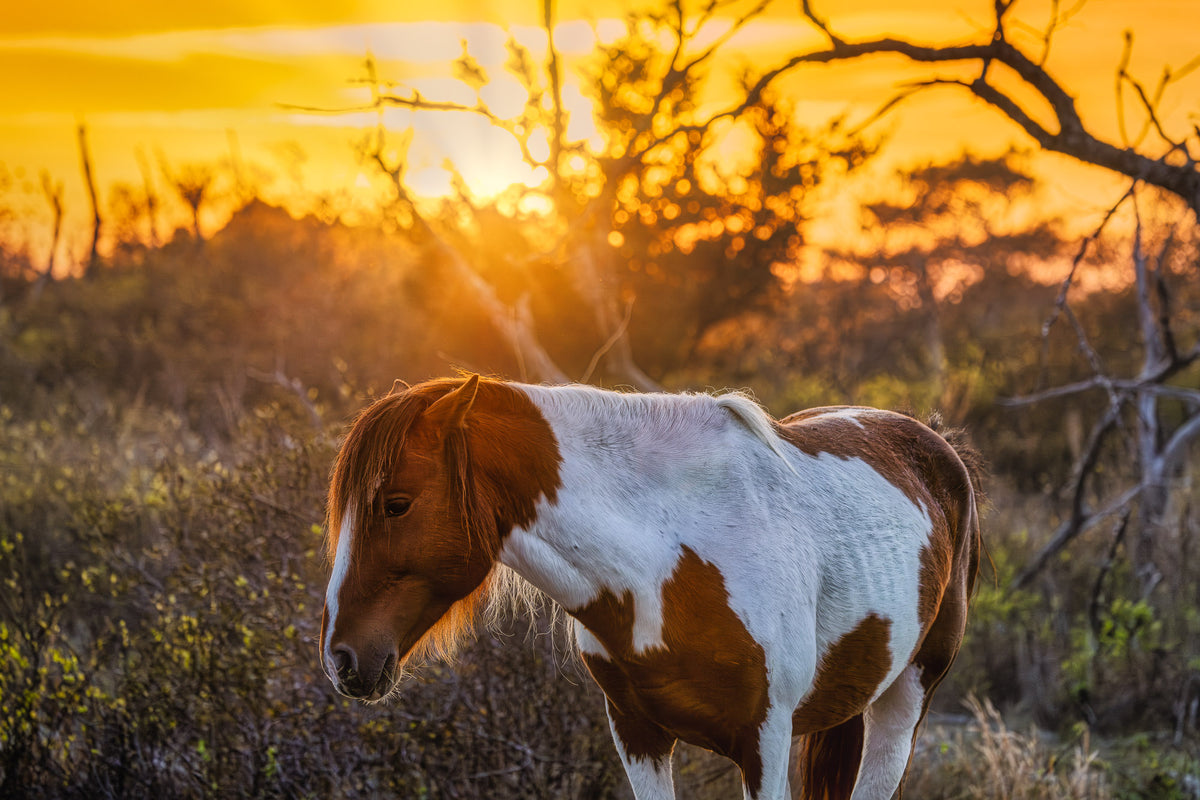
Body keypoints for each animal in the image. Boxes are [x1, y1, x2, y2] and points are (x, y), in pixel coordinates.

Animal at [319, 374, 982, 800]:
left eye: (396, 504)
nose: (341, 658)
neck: (664, 561)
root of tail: (933, 441)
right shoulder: (637, 735)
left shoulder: (765, 743)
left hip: (909, 696)